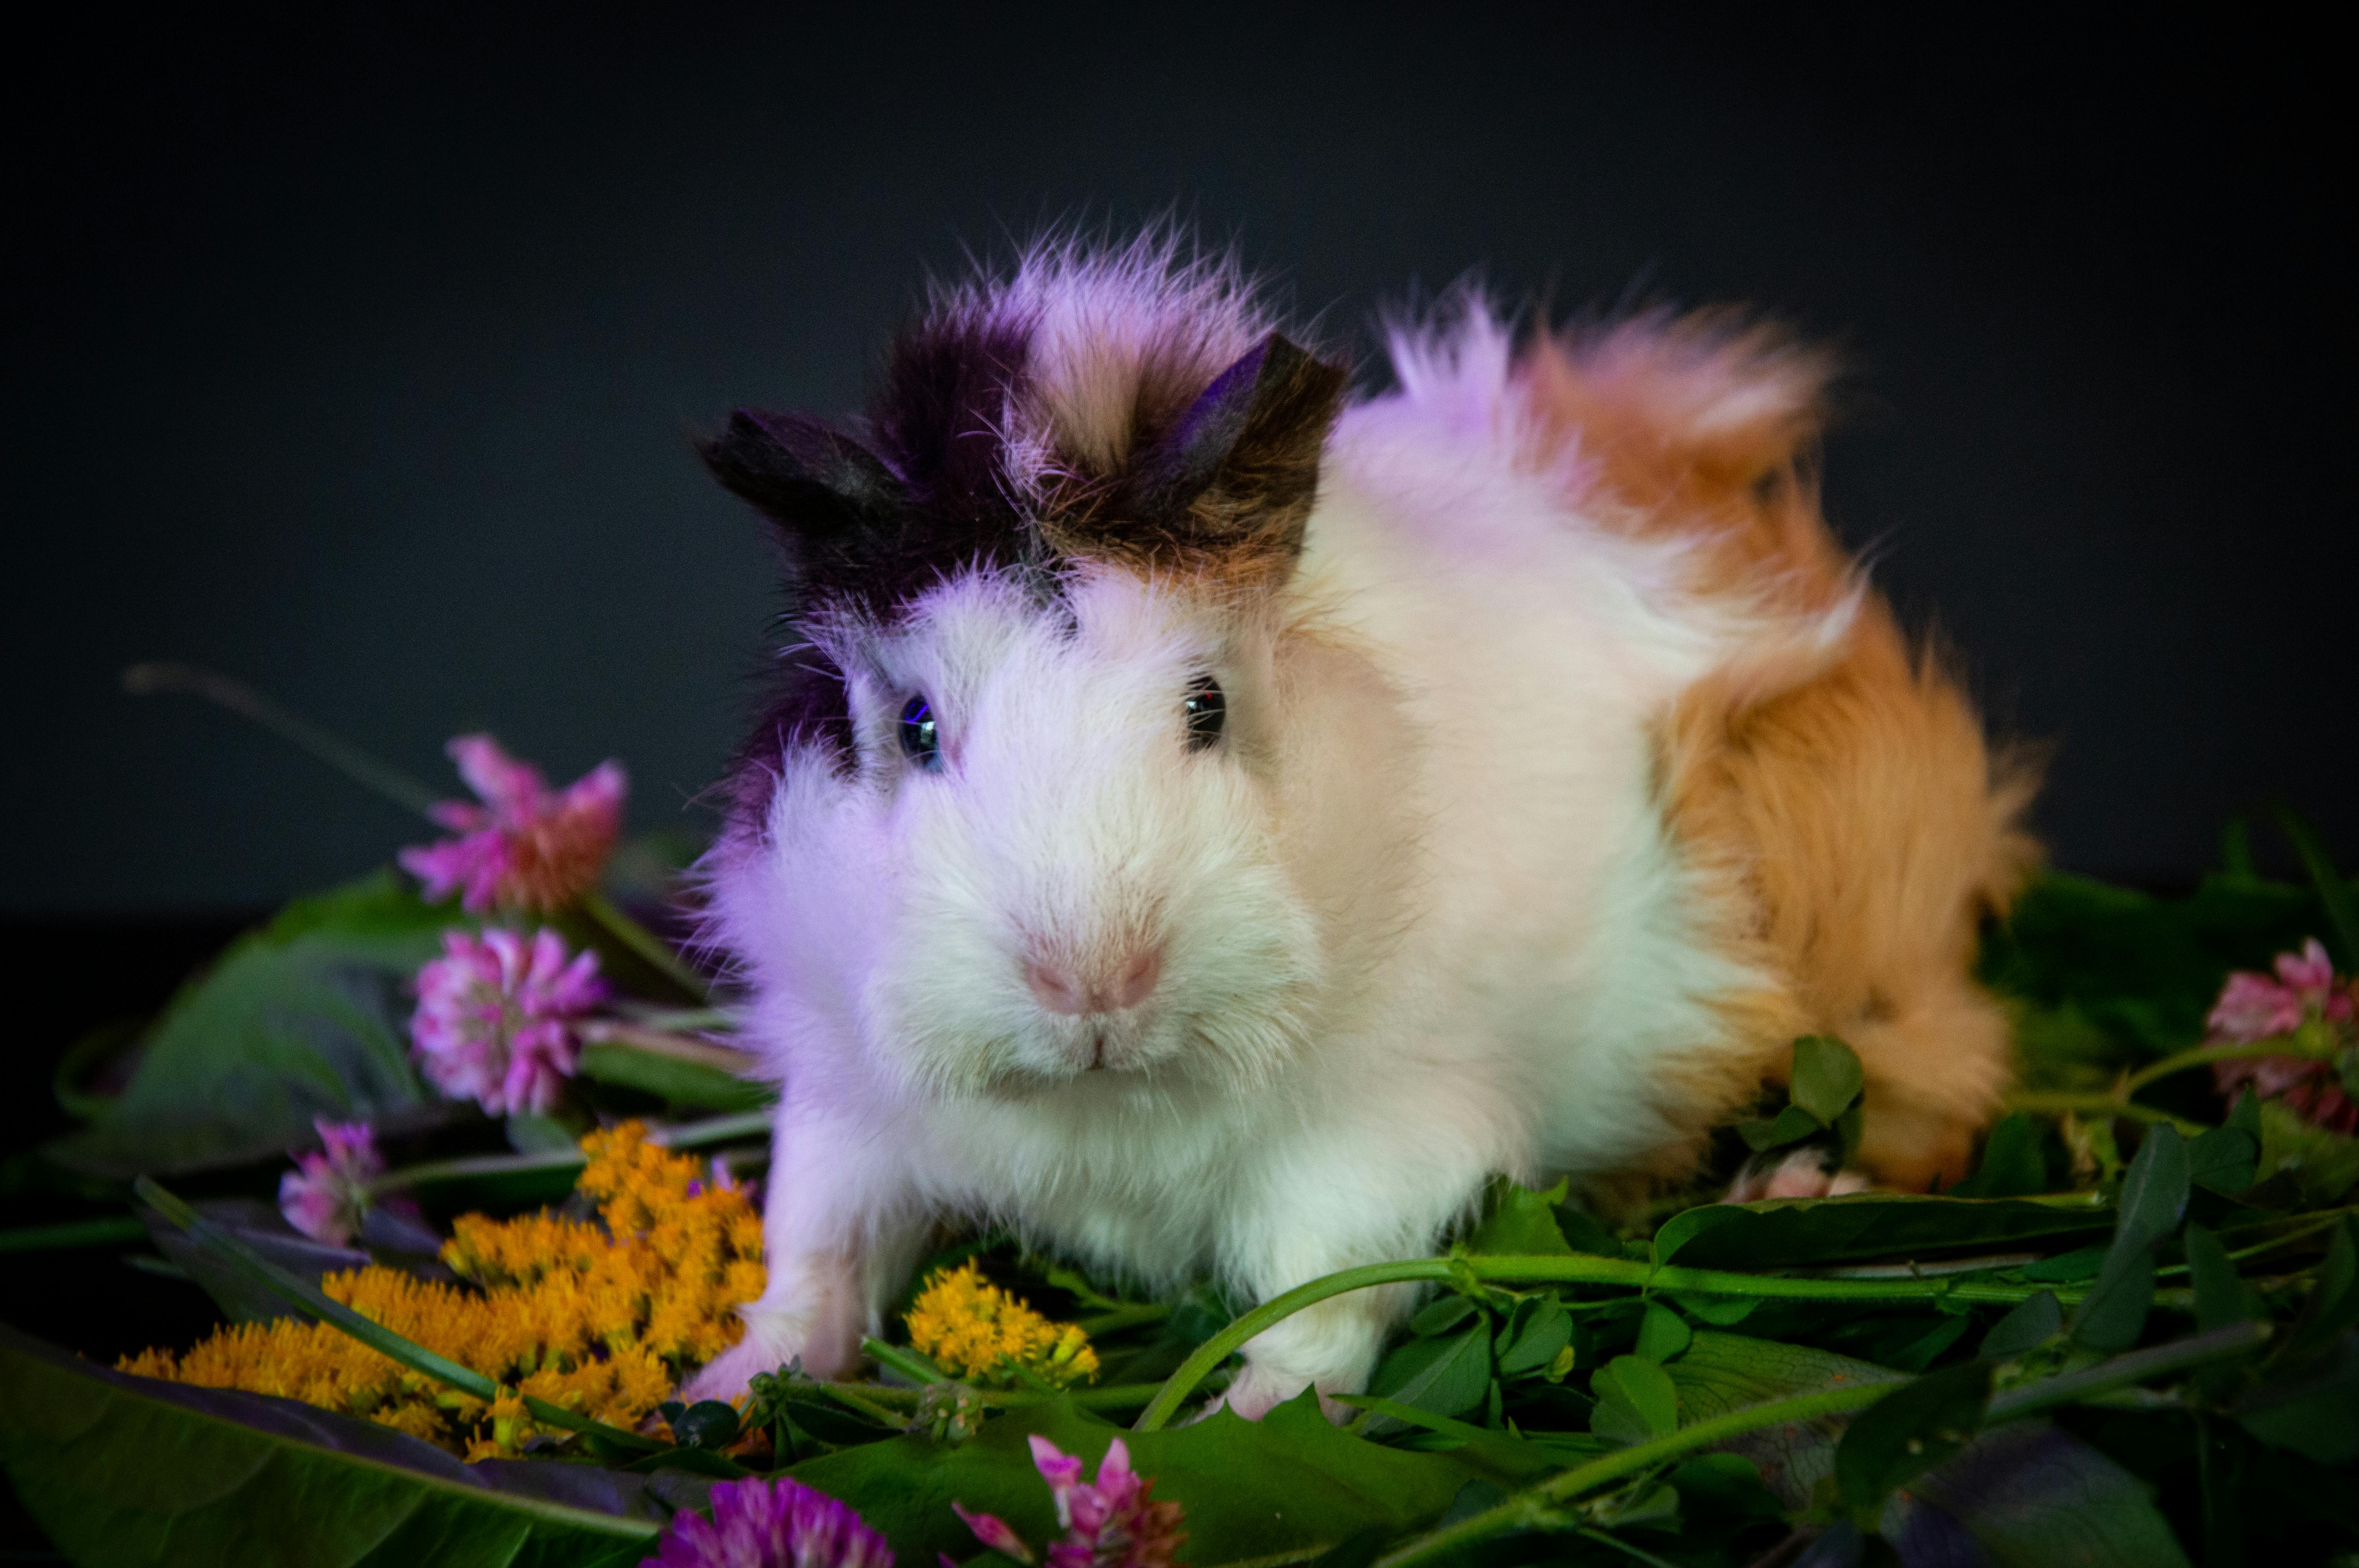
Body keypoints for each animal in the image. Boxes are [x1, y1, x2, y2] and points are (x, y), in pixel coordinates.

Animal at [680, 235, 2034, 1417]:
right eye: (914, 724)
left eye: (1207, 703)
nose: (1091, 980)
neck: (1106, 1113)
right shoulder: (842, 1108)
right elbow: (813, 1255)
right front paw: (720, 1391)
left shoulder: (1376, 1146)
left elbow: (1322, 1299)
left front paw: (1238, 1416)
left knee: (1940, 1096)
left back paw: (1792, 1190)